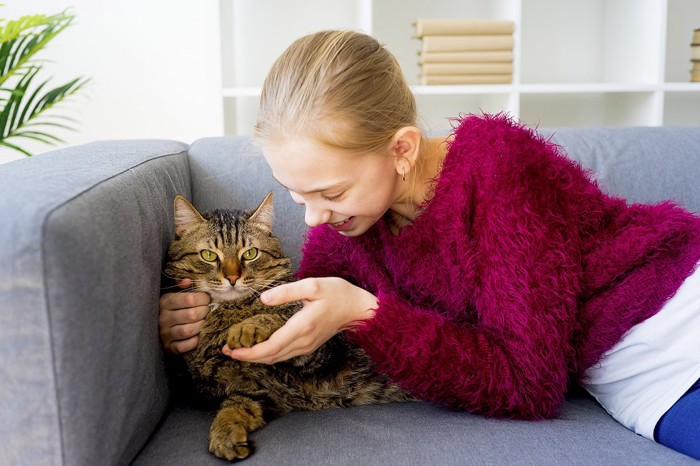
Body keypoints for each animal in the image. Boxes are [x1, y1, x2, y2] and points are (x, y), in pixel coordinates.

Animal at [163, 193, 410, 462]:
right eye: (208, 255)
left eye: (250, 253)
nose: (232, 278)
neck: (229, 309)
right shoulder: (257, 391)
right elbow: (233, 407)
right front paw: (225, 436)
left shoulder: (325, 349)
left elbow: (282, 315)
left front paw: (245, 329)